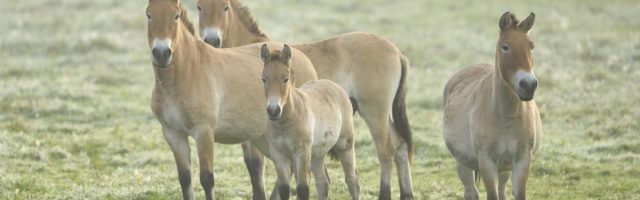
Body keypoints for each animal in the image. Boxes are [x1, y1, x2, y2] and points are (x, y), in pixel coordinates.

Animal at [143, 0, 318, 199]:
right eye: (149, 15)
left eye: (176, 16)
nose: (161, 53)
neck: (183, 73)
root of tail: (303, 58)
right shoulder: (173, 134)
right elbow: (185, 179)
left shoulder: (203, 132)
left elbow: (207, 179)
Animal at [260, 43, 360, 200]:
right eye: (264, 79)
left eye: (286, 79)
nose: (273, 110)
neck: (285, 123)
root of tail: (334, 86)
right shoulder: (278, 153)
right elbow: (284, 189)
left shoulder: (301, 152)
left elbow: (302, 188)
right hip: (316, 153)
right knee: (323, 182)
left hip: (345, 144)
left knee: (352, 179)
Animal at [444, 12, 540, 200]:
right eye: (505, 47)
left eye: (531, 46)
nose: (528, 85)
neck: (506, 116)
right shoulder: (487, 163)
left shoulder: (522, 161)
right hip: (463, 164)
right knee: (471, 192)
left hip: (504, 169)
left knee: (502, 189)